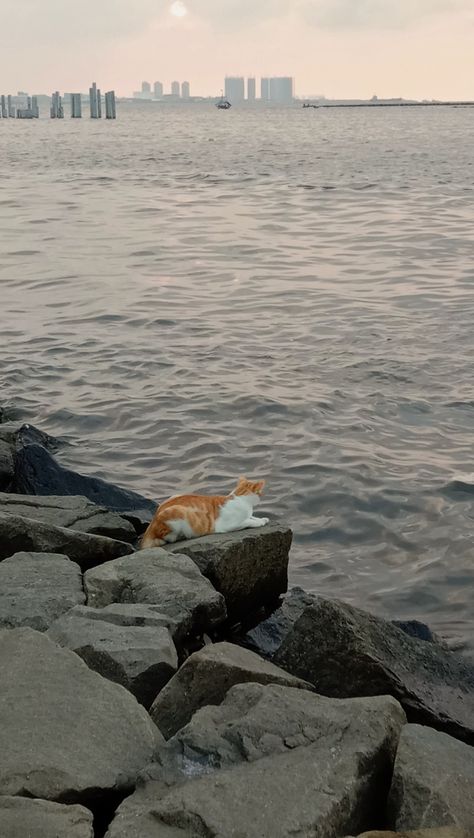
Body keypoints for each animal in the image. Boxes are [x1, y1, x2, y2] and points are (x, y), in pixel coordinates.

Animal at [139, 480, 268, 552]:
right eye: (260, 493)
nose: (262, 497)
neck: (239, 497)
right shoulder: (229, 525)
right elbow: (248, 521)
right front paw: (259, 522)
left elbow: (252, 517)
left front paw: (262, 519)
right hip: (176, 514)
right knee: (168, 537)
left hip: (175, 496)